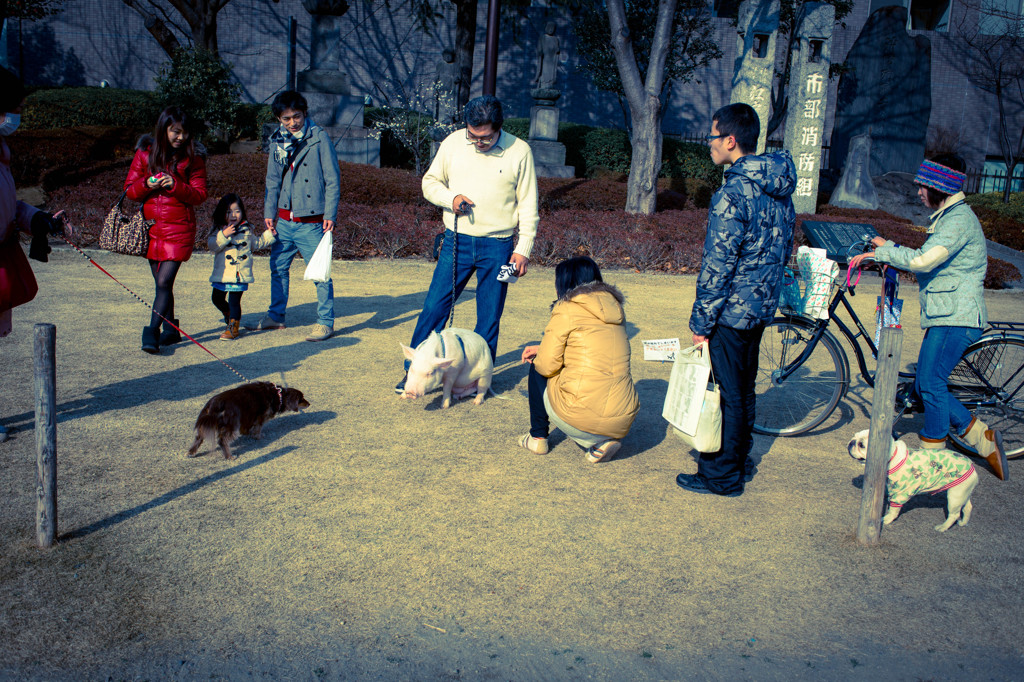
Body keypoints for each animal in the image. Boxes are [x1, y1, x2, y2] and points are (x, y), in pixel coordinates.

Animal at [843, 425, 978, 532]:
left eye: (861, 445)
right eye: (854, 436)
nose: (851, 442)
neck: (891, 457)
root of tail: (972, 467)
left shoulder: (901, 494)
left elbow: (893, 509)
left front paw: (886, 519)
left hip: (955, 496)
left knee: (954, 514)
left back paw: (943, 527)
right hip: (963, 492)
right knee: (968, 507)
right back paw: (963, 522)